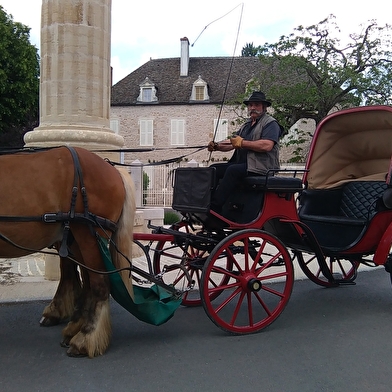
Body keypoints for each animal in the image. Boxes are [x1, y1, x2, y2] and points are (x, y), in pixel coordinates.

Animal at [0, 145, 136, 356]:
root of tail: (112, 169)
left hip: (88, 235)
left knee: (99, 284)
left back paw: (86, 337)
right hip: (76, 238)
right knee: (87, 282)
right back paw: (76, 327)